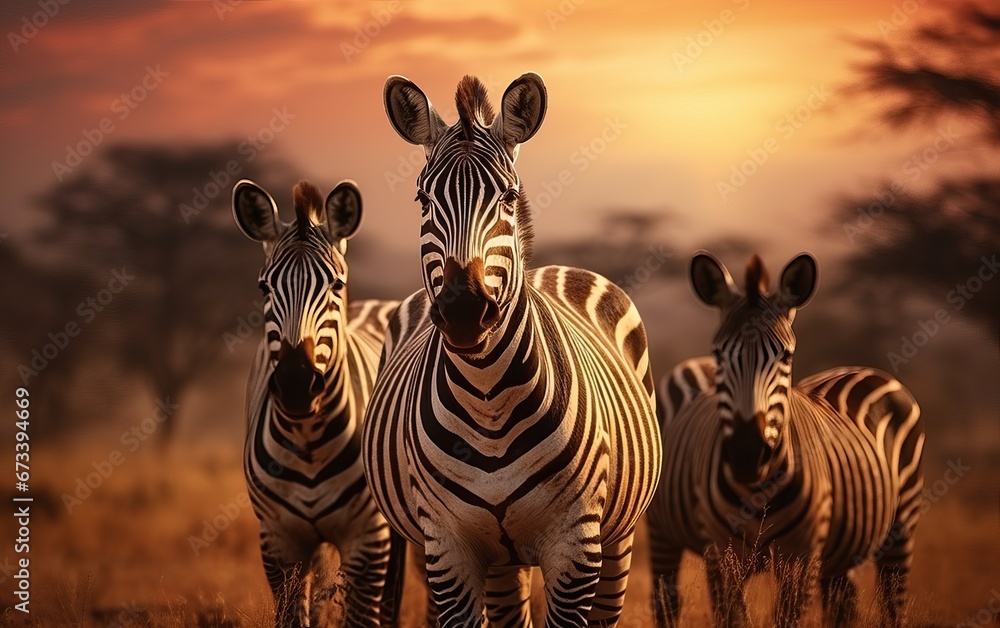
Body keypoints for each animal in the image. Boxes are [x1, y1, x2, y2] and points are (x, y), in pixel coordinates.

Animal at [233, 179, 403, 627]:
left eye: (336, 285)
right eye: (264, 287)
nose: (296, 385)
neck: (308, 439)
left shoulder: (368, 539)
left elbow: (363, 616)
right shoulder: (279, 542)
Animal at [361, 73, 662, 627]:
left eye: (506, 197)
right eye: (422, 201)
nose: (463, 310)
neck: (489, 400)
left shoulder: (575, 545)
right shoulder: (447, 547)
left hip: (619, 537)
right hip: (497, 558)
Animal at [647, 251, 925, 627]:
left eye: (786, 355)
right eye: (720, 354)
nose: (747, 453)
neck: (756, 489)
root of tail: (862, 369)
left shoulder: (801, 559)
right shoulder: (723, 557)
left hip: (900, 530)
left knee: (887, 602)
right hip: (661, 531)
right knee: (666, 601)